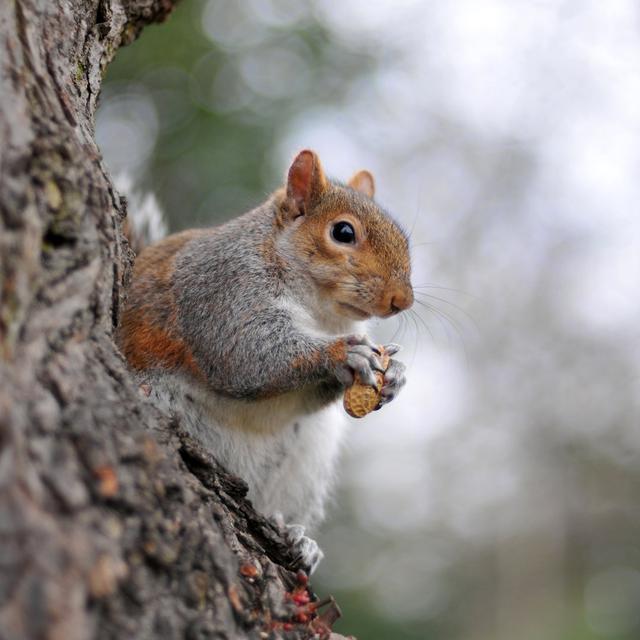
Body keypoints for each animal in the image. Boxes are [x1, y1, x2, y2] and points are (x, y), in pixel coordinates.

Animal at [117, 151, 412, 576]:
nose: (402, 300)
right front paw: (342, 354)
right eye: (343, 232)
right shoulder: (222, 290)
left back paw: (296, 538)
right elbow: (246, 354)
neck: (321, 312)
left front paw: (396, 377)